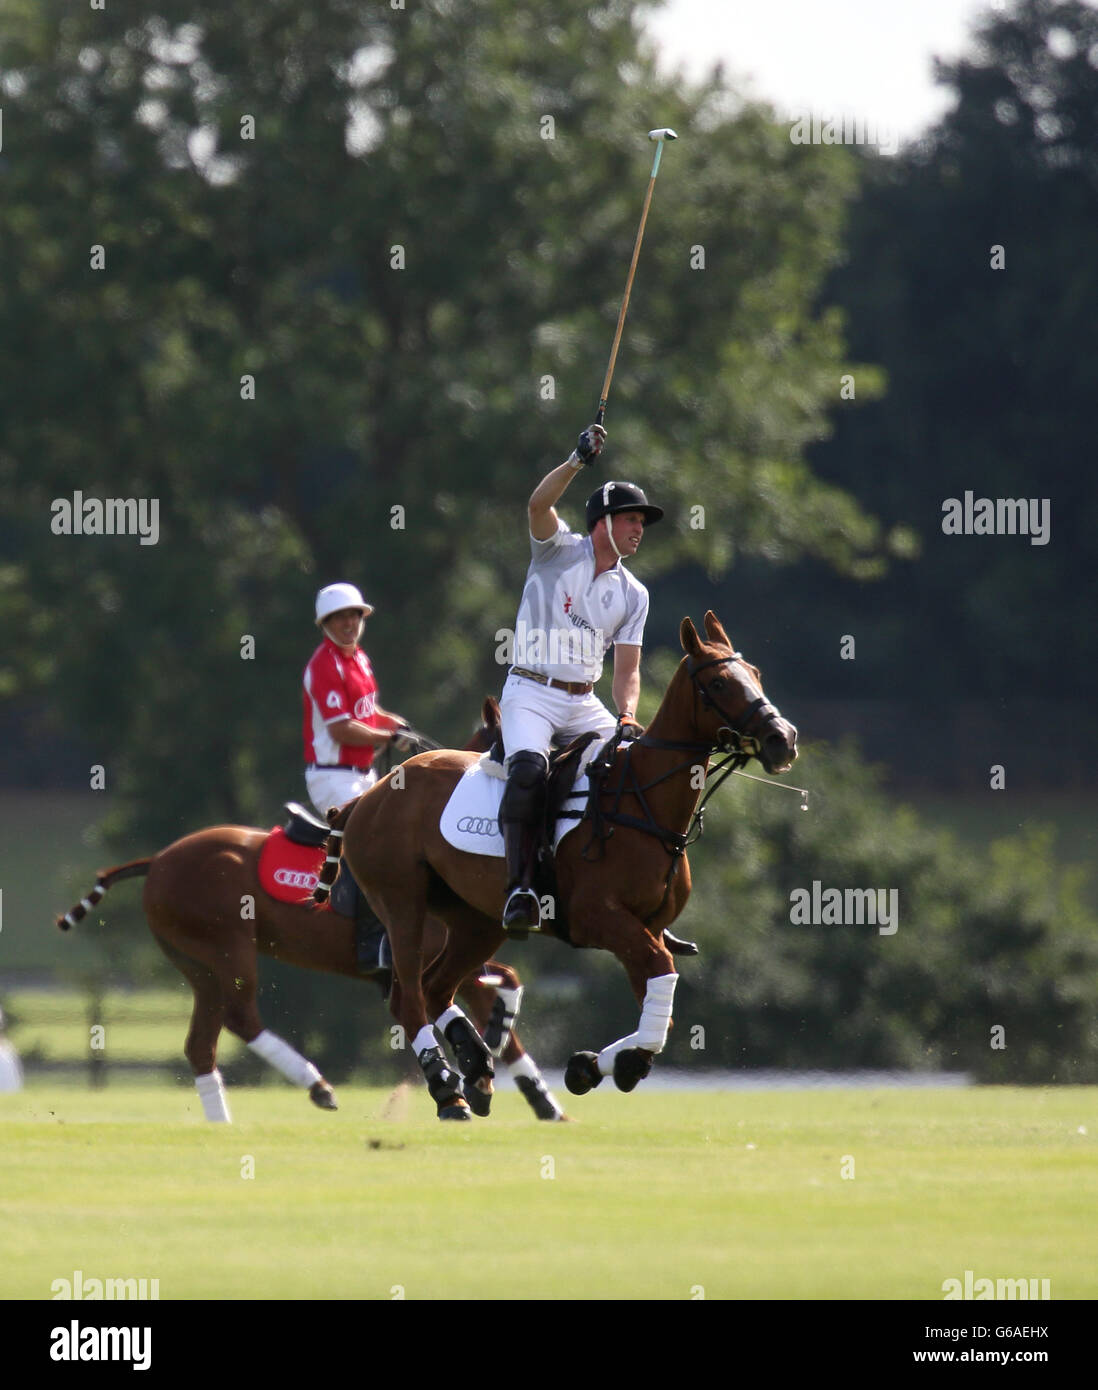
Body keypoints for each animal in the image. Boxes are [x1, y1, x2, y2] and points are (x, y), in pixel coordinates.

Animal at [55, 700, 567, 1123]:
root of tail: (158, 860)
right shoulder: (432, 946)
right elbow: (480, 993)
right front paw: (486, 1064)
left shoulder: (461, 946)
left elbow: (502, 992)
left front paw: (542, 1101)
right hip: (227, 948)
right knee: (241, 1016)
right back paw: (316, 1085)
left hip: (196, 963)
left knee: (202, 1043)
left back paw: (225, 1122)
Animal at [329, 611, 800, 1117]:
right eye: (718, 682)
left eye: (755, 675)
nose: (783, 740)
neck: (643, 803)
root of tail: (368, 797)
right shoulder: (601, 918)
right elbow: (663, 973)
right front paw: (600, 1066)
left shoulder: (649, 927)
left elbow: (661, 1005)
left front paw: (598, 1065)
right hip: (402, 903)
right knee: (409, 996)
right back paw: (447, 1089)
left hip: (476, 921)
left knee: (435, 987)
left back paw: (476, 1069)